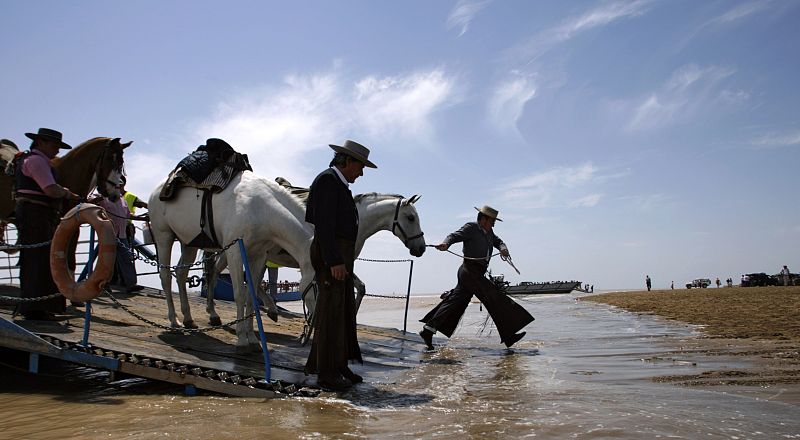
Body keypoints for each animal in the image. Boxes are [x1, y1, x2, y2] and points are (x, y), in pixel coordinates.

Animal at [147, 171, 316, 353]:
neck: (262, 209)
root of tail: (157, 190)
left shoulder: (258, 255)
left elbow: (251, 296)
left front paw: (253, 339)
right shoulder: (235, 250)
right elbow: (240, 294)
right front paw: (241, 339)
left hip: (189, 242)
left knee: (182, 272)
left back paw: (190, 319)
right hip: (164, 235)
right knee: (166, 275)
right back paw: (175, 321)